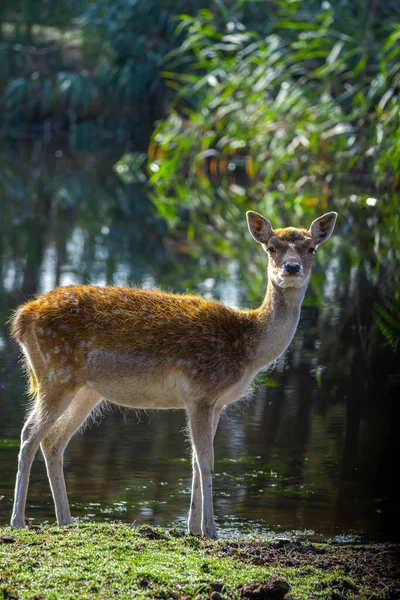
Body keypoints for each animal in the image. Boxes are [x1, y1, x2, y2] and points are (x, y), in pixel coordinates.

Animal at [10, 211, 338, 540]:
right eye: (272, 248)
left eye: (311, 249)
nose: (292, 268)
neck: (248, 348)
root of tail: (22, 318)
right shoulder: (201, 391)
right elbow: (206, 460)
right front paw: (211, 531)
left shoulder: (215, 402)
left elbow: (194, 460)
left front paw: (193, 530)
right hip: (55, 374)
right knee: (28, 434)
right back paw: (17, 521)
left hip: (85, 391)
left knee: (53, 441)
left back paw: (65, 520)